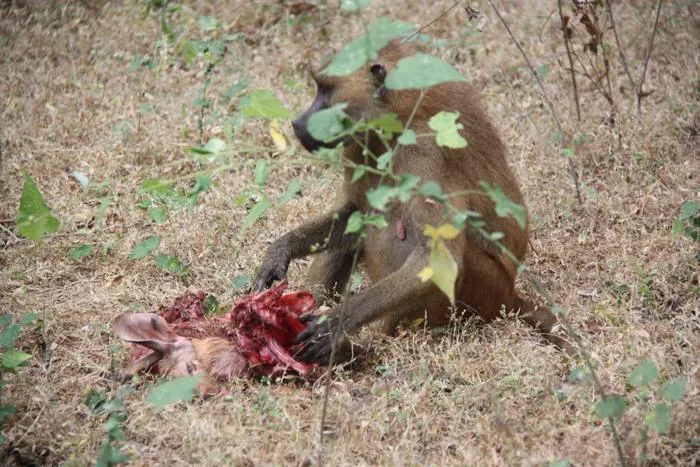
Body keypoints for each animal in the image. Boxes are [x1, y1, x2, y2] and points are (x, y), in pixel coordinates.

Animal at [253, 41, 571, 363]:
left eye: (326, 90)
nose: (297, 123)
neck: (398, 116)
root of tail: (510, 294)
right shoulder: (358, 144)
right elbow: (355, 212)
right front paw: (280, 252)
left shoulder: (423, 155)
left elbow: (438, 258)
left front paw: (335, 325)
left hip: (486, 290)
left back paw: (357, 349)